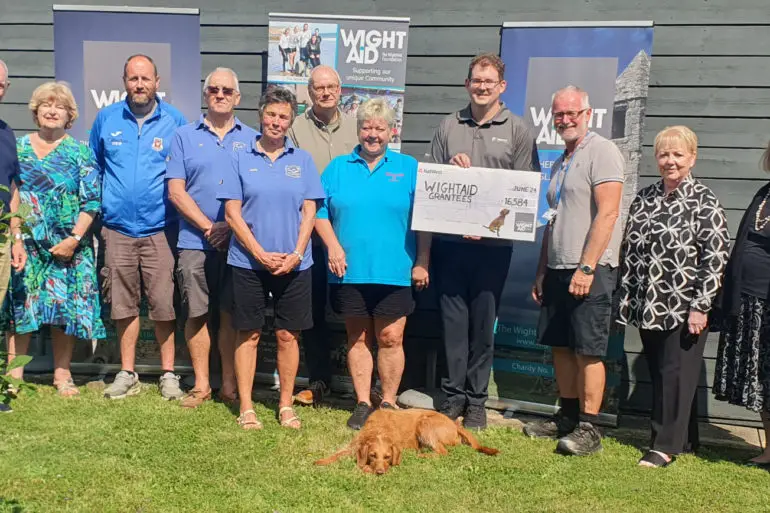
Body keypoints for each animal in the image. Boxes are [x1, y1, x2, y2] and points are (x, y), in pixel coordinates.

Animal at [314, 406, 498, 474]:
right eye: (372, 455)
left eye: (388, 457)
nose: (380, 472)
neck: (379, 429)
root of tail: (454, 424)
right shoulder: (353, 445)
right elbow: (337, 453)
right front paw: (320, 461)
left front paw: (366, 468)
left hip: (425, 423)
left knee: (442, 452)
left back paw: (422, 455)